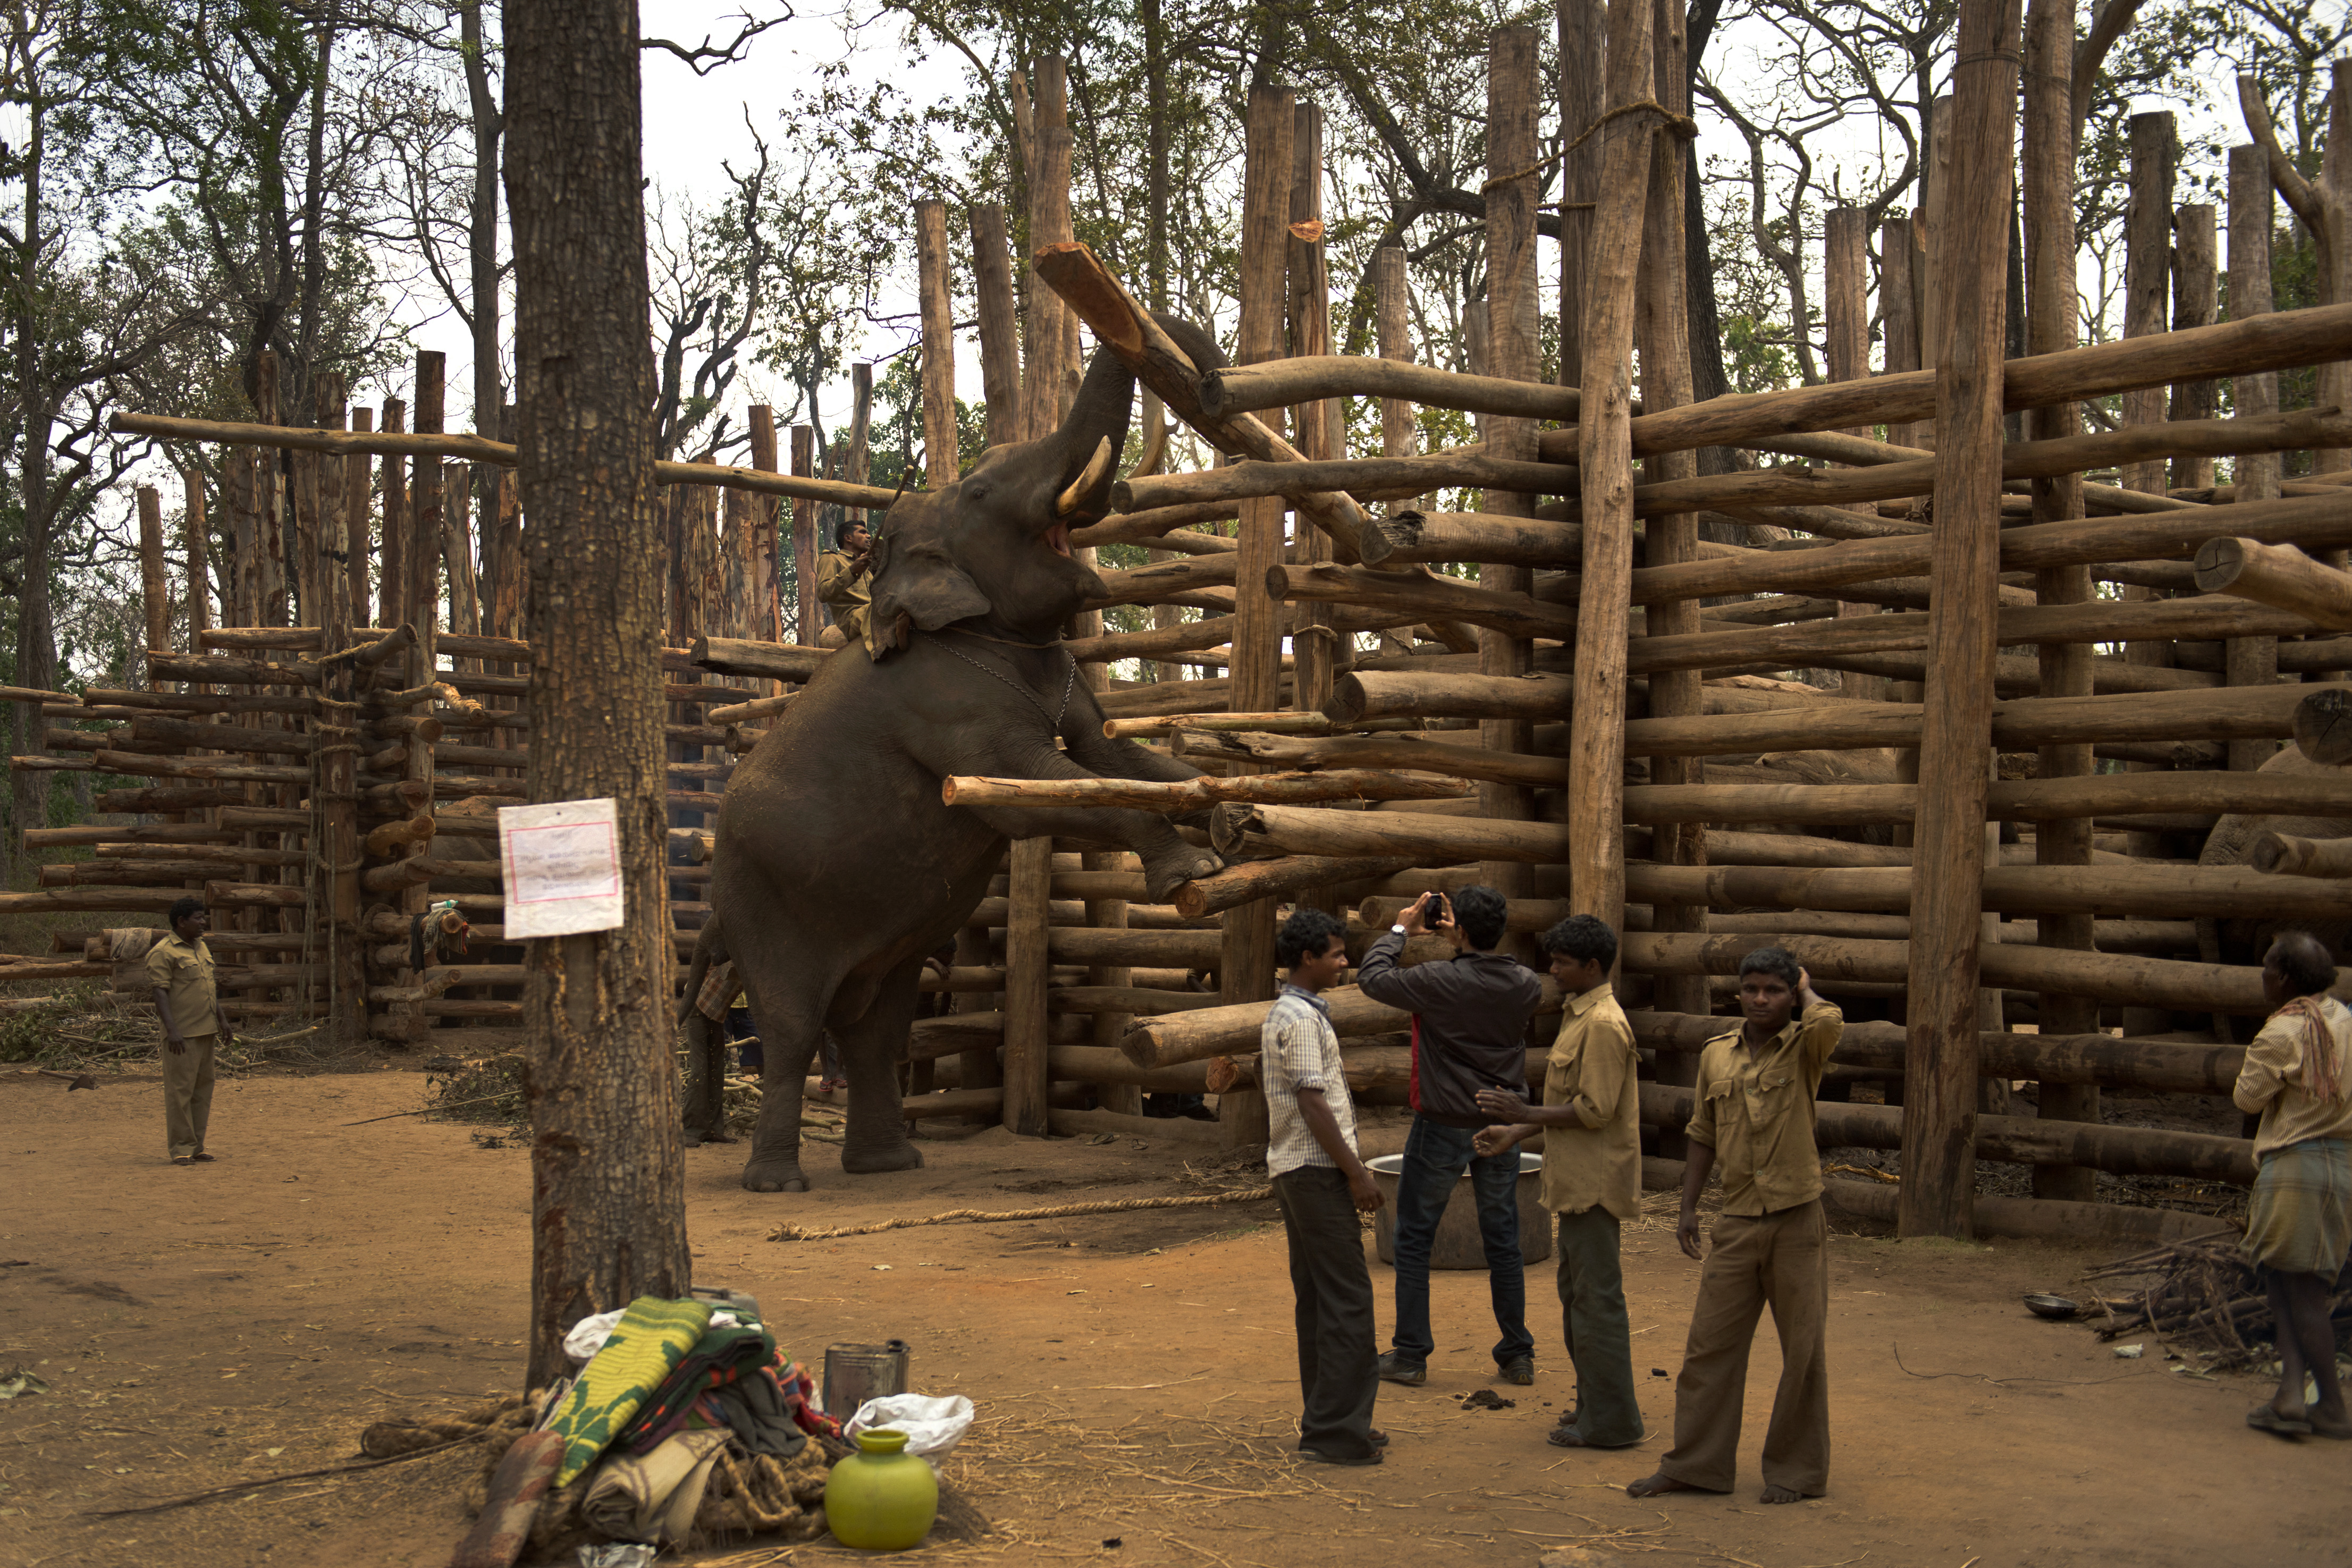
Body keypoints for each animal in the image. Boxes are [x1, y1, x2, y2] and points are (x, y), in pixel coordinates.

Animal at [679, 319, 1229, 1192]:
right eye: (978, 492)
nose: (1209, 385)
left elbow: (1111, 753)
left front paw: (1241, 818)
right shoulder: (942, 698)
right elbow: (1031, 787)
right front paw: (1190, 873)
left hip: (871, 946)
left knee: (875, 1023)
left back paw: (888, 1164)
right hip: (758, 901)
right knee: (792, 1026)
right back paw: (777, 1180)